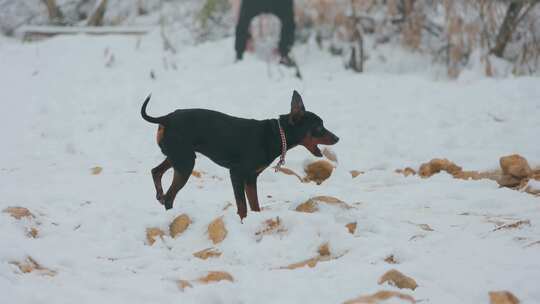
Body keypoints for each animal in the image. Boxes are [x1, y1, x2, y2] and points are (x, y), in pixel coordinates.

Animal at [141, 89, 340, 218]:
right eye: (319, 127)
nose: (337, 138)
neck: (275, 134)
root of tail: (166, 118)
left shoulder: (251, 178)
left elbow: (255, 205)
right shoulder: (236, 173)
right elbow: (242, 207)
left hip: (179, 156)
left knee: (155, 172)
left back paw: (160, 196)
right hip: (185, 162)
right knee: (169, 195)